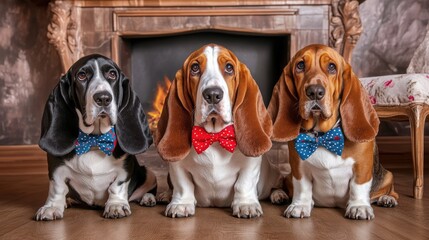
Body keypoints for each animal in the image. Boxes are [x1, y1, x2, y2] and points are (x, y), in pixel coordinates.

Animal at [35, 54, 155, 221]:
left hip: (149, 172)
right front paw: (52, 207)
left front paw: (116, 205)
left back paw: (148, 198)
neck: (94, 141)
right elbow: (57, 188)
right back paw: (68, 200)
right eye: (81, 75)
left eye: (112, 74)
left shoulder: (125, 170)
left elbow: (117, 187)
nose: (103, 98)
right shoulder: (56, 167)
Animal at [155, 44, 286, 218]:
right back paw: (166, 195)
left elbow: (243, 183)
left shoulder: (251, 163)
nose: (212, 94)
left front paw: (246, 204)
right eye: (195, 68)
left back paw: (279, 194)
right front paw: (181, 204)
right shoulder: (176, 166)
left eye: (229, 67)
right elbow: (183, 184)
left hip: (273, 173)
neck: (214, 136)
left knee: (275, 185)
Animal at [268, 44, 398, 220]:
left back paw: (387, 199)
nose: (315, 92)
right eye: (300, 65)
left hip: (388, 176)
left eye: (331, 67)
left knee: (391, 192)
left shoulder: (363, 165)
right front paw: (300, 205)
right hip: (288, 176)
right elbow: (302, 188)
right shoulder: (298, 167)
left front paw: (359, 207)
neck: (322, 136)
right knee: (282, 185)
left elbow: (358, 186)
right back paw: (278, 195)